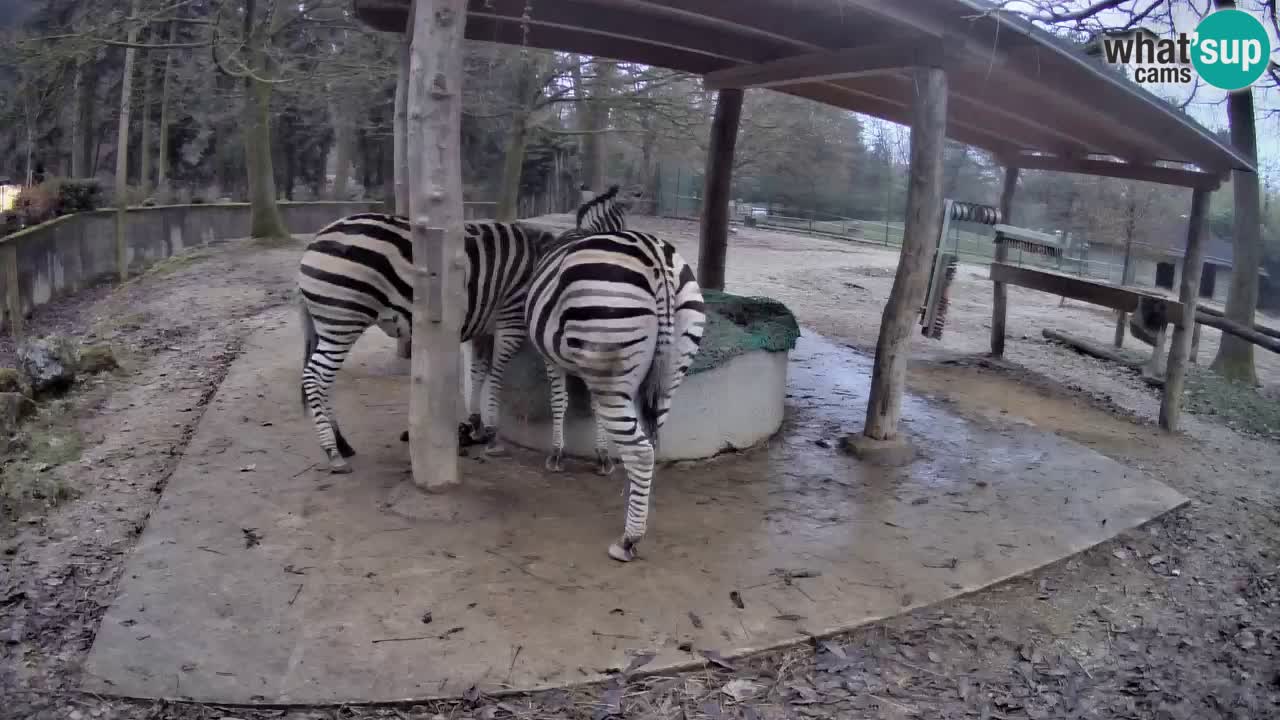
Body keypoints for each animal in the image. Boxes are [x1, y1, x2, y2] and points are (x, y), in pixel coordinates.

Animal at [297, 213, 557, 473]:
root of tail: (315, 240)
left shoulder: (485, 329)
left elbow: (478, 373)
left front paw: (476, 425)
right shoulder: (510, 320)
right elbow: (495, 375)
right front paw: (492, 435)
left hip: (330, 325)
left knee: (325, 380)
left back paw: (342, 444)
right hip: (343, 321)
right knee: (314, 376)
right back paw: (333, 452)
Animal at [524, 226, 707, 562]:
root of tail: (658, 258)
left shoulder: (553, 359)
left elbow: (559, 402)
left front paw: (556, 454)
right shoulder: (592, 370)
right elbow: (595, 409)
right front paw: (602, 456)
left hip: (609, 351)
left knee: (641, 451)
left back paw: (629, 540)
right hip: (668, 372)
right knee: (651, 444)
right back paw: (637, 509)